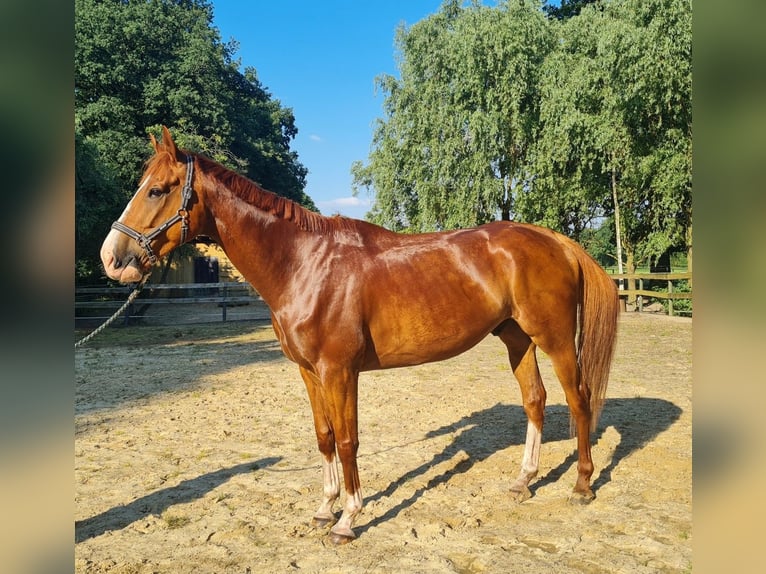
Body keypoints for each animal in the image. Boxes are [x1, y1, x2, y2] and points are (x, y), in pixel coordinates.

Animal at [102, 128, 620, 548]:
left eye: (156, 190)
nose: (111, 257)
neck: (305, 264)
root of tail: (556, 241)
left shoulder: (339, 371)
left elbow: (349, 439)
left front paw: (348, 519)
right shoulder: (309, 373)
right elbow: (325, 436)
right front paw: (323, 508)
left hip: (555, 339)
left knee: (578, 400)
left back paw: (582, 485)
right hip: (516, 338)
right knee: (535, 400)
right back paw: (523, 481)